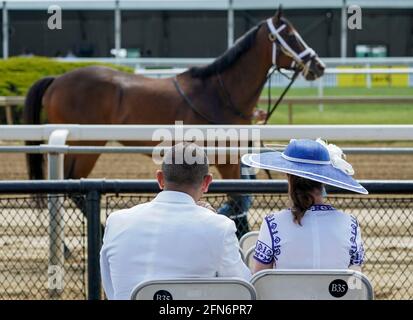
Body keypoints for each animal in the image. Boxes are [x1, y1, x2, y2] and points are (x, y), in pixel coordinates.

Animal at [24, 9, 324, 235]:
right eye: (289, 34)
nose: (317, 65)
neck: (219, 93)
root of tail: (57, 79)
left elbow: (237, 198)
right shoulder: (224, 156)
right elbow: (237, 198)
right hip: (89, 144)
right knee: (71, 187)